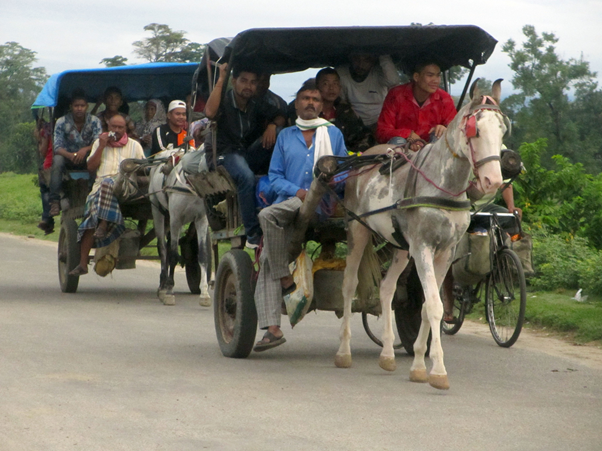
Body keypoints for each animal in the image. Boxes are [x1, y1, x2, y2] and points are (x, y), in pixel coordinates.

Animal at [148, 148, 211, 308]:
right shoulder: (176, 219)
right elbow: (173, 255)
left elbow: (203, 254)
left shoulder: (201, 220)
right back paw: (163, 285)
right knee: (163, 248)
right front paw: (169, 291)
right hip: (158, 211)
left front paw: (204, 293)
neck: (189, 185)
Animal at [336, 80, 504, 388]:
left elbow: (427, 305)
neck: (442, 185)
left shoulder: (445, 252)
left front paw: (417, 366)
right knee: (349, 285)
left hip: (402, 248)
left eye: (502, 130)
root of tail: (364, 158)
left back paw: (387, 355)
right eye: (474, 130)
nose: (493, 181)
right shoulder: (424, 248)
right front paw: (438, 371)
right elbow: (435, 306)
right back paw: (343, 352)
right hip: (357, 230)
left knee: (387, 287)